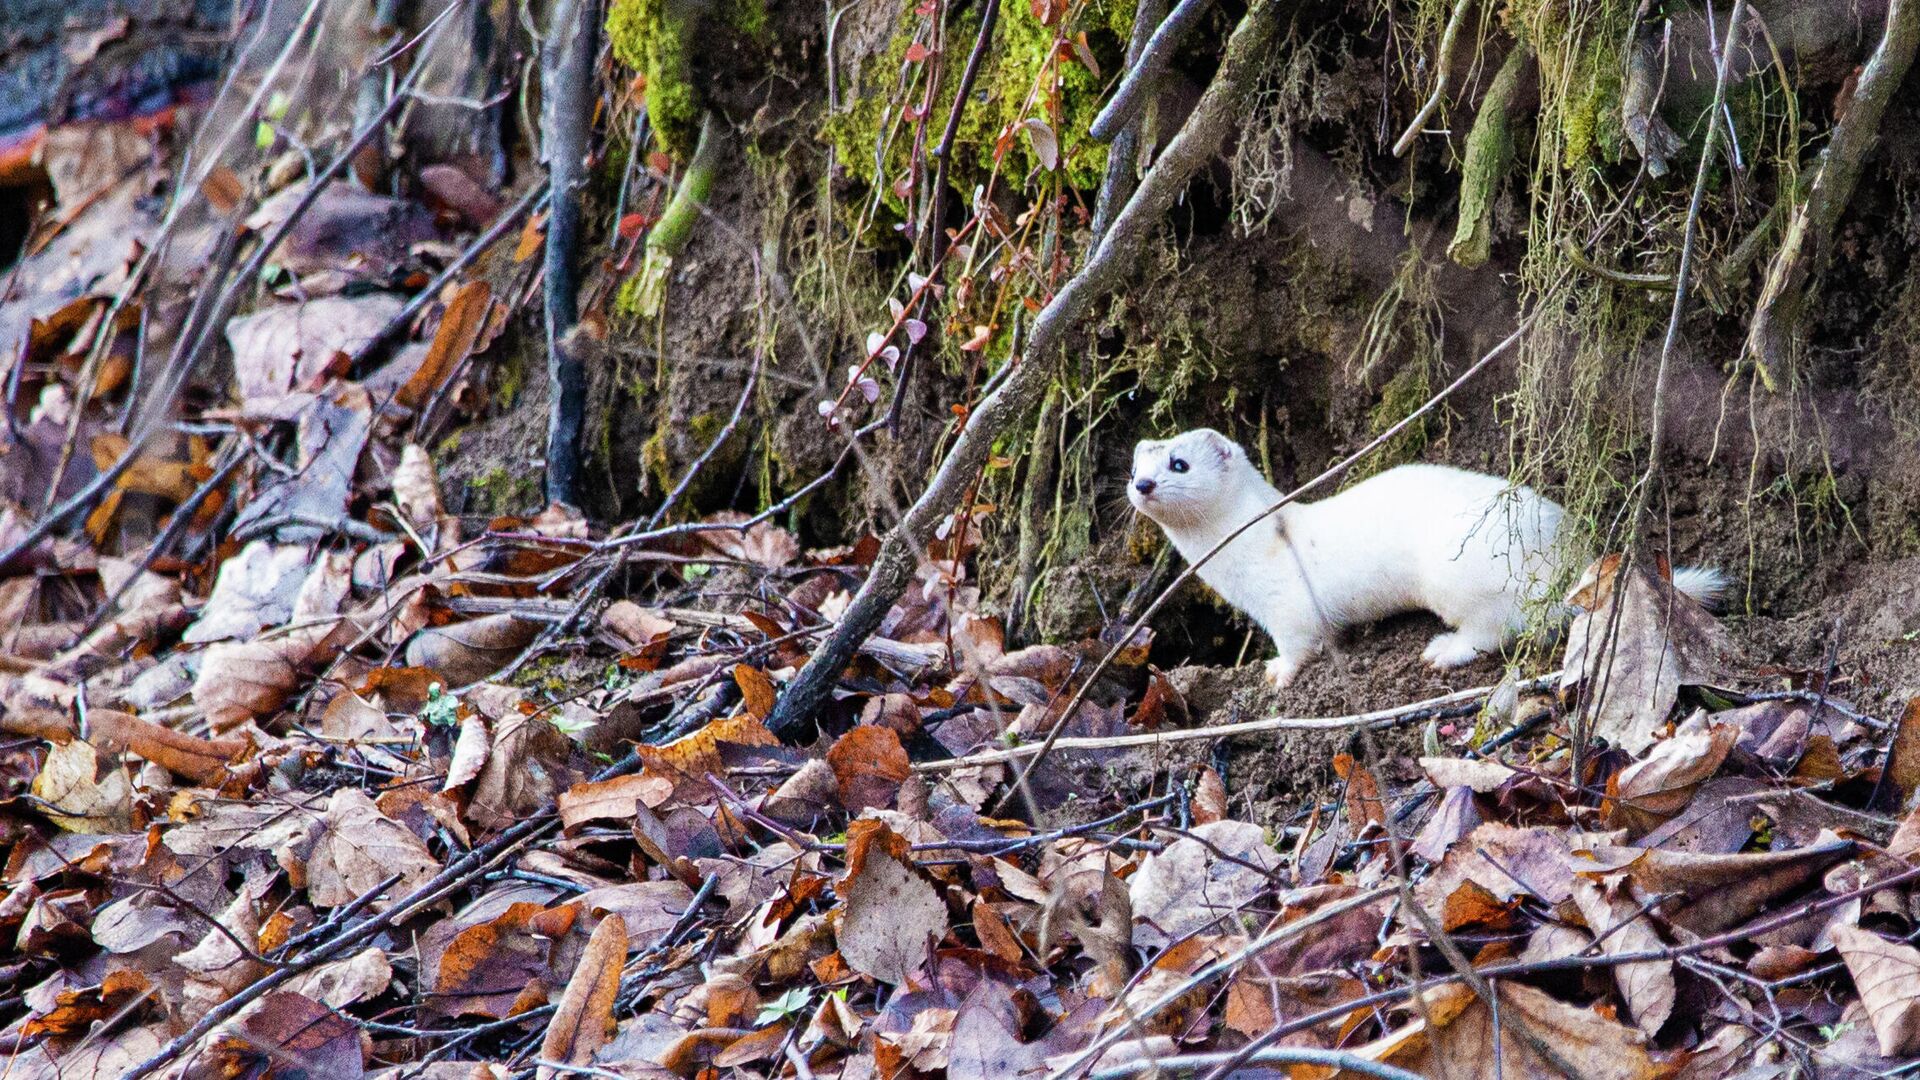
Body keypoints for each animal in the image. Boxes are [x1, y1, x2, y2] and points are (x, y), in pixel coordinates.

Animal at [1121, 426, 1728, 684]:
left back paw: (1445, 649)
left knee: (1502, 627)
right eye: (1134, 468)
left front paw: (1276, 672)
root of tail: (1563, 555)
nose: (1143, 485)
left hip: (1456, 577)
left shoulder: (1288, 603)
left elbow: (1301, 642)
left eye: (1178, 463)